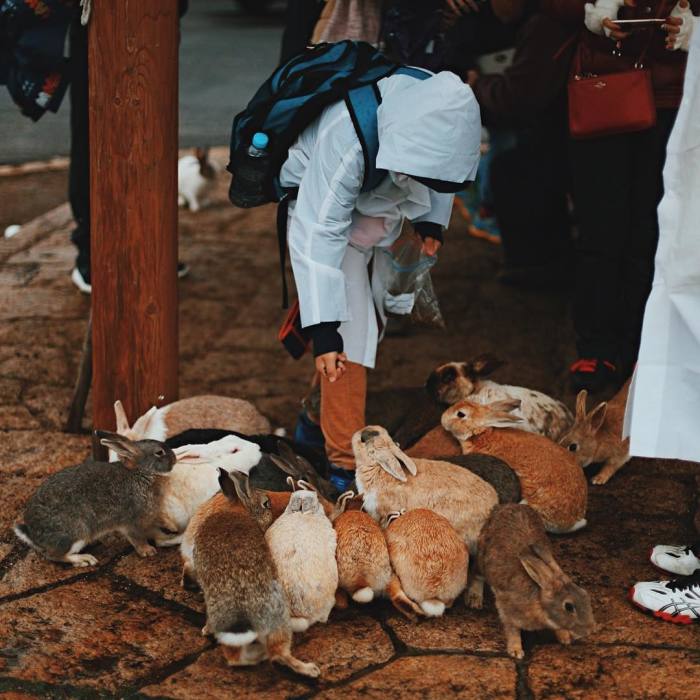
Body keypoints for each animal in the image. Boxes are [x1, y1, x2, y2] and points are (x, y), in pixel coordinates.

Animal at [14, 432, 176, 567]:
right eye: (159, 452)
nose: (174, 458)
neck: (142, 473)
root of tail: (32, 533)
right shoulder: (131, 522)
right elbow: (137, 538)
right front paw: (147, 551)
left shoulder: (147, 520)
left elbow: (155, 531)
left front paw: (168, 537)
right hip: (76, 533)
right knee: (55, 555)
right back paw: (84, 559)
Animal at [180, 470, 319, 677]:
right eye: (266, 504)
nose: (272, 509)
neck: (238, 511)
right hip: (278, 623)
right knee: (274, 653)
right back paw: (307, 668)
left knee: (239, 658)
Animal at [478, 503, 596, 659]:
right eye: (569, 606)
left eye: (586, 595)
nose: (591, 630)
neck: (539, 601)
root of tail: (505, 506)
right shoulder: (507, 611)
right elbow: (512, 630)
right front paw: (516, 651)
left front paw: (565, 638)